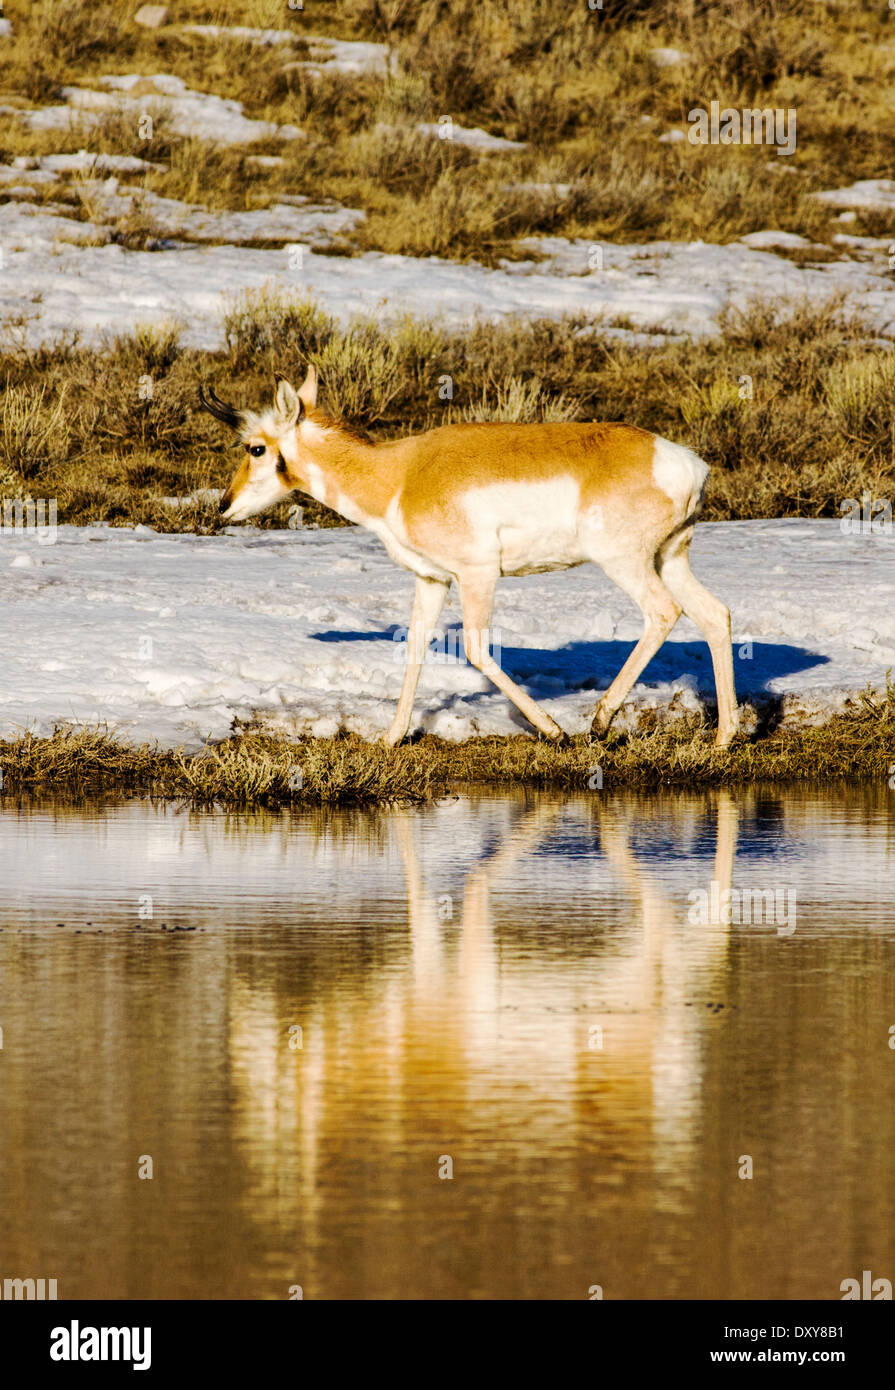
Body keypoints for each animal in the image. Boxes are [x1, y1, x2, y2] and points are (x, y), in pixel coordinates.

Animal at [198, 364, 739, 745]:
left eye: (254, 448)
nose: (224, 505)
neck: (399, 473)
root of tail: (684, 463)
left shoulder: (477, 575)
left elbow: (478, 649)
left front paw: (553, 731)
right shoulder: (432, 580)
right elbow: (416, 645)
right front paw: (391, 739)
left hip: (626, 564)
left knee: (663, 613)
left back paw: (600, 722)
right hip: (671, 558)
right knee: (715, 614)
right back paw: (724, 738)